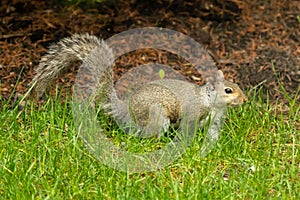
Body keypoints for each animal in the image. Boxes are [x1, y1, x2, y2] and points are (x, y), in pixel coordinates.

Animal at [29, 33, 248, 141]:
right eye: (228, 90)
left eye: (236, 84)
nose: (245, 100)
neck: (209, 101)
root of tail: (125, 110)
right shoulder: (193, 112)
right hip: (157, 115)